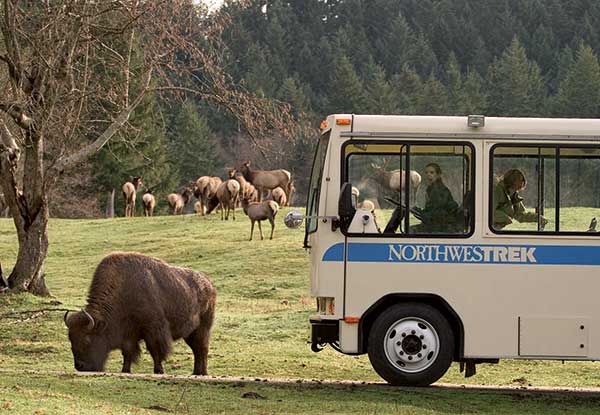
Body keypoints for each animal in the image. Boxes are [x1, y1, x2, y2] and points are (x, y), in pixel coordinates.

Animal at [63, 254, 217, 376]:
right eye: (70, 338)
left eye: (87, 339)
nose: (80, 366)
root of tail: (209, 285)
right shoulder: (128, 333)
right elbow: (128, 351)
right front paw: (125, 370)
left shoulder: (153, 329)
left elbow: (154, 349)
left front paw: (158, 371)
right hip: (190, 333)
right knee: (197, 350)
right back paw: (196, 372)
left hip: (203, 329)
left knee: (202, 349)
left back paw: (202, 373)